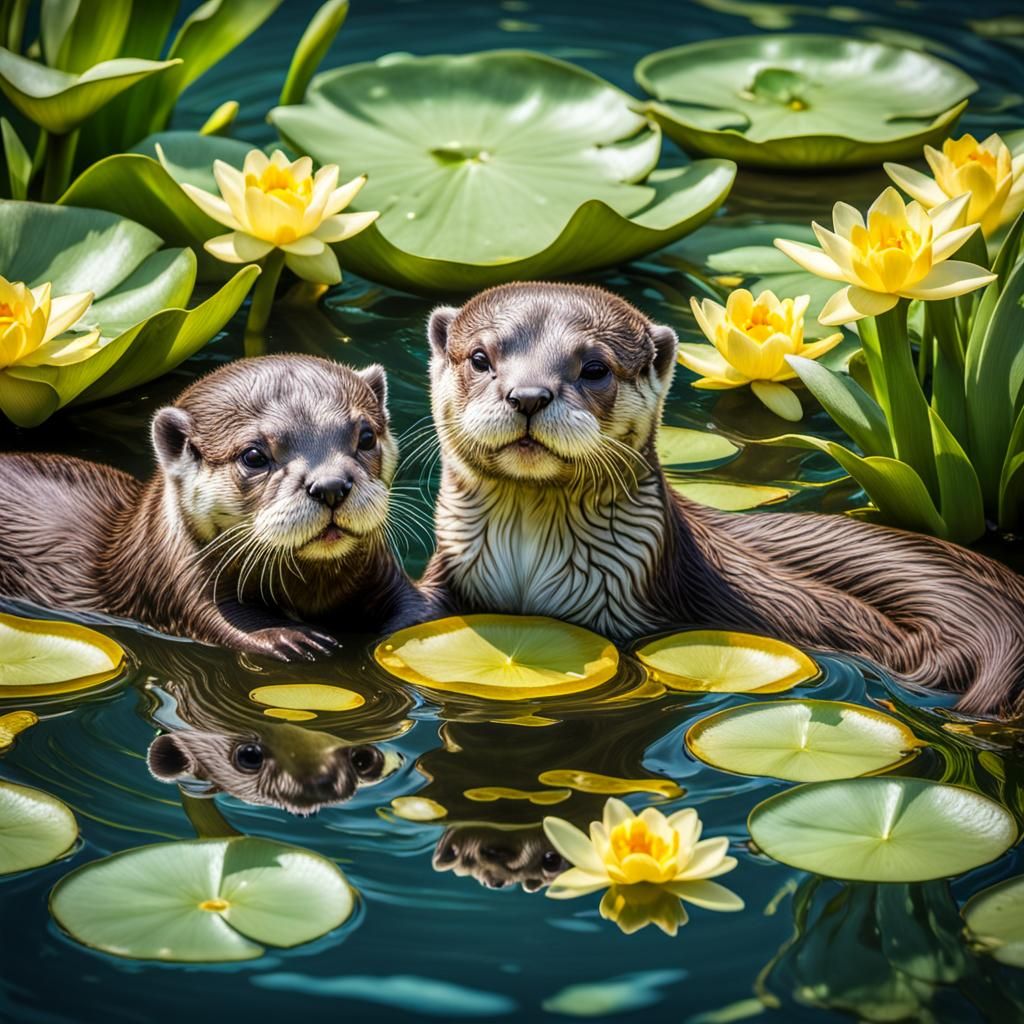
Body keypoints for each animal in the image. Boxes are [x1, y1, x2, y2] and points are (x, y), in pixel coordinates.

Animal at [0, 355, 428, 659]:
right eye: (254, 456)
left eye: (366, 436)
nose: (331, 486)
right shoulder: (177, 585)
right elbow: (226, 622)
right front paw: (289, 637)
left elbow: (416, 609)